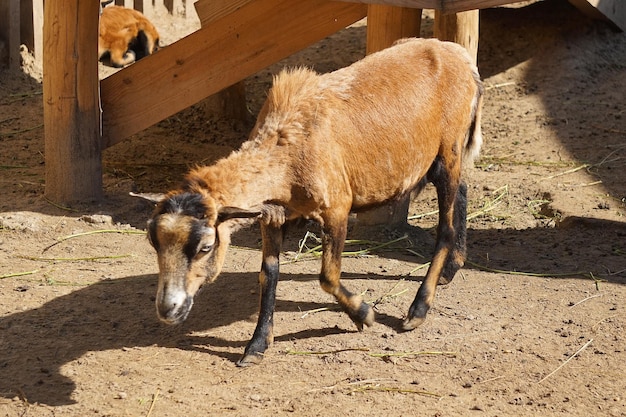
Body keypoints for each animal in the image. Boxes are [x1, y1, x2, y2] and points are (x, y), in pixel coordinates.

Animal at [135, 37, 482, 366]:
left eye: (205, 247)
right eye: (153, 243)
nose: (167, 310)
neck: (286, 148)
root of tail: (459, 56)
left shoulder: (337, 208)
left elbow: (328, 276)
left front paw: (365, 314)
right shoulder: (272, 216)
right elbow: (268, 275)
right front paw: (256, 346)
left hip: (448, 148)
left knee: (446, 228)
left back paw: (418, 309)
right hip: (441, 158)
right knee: (463, 191)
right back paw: (452, 268)